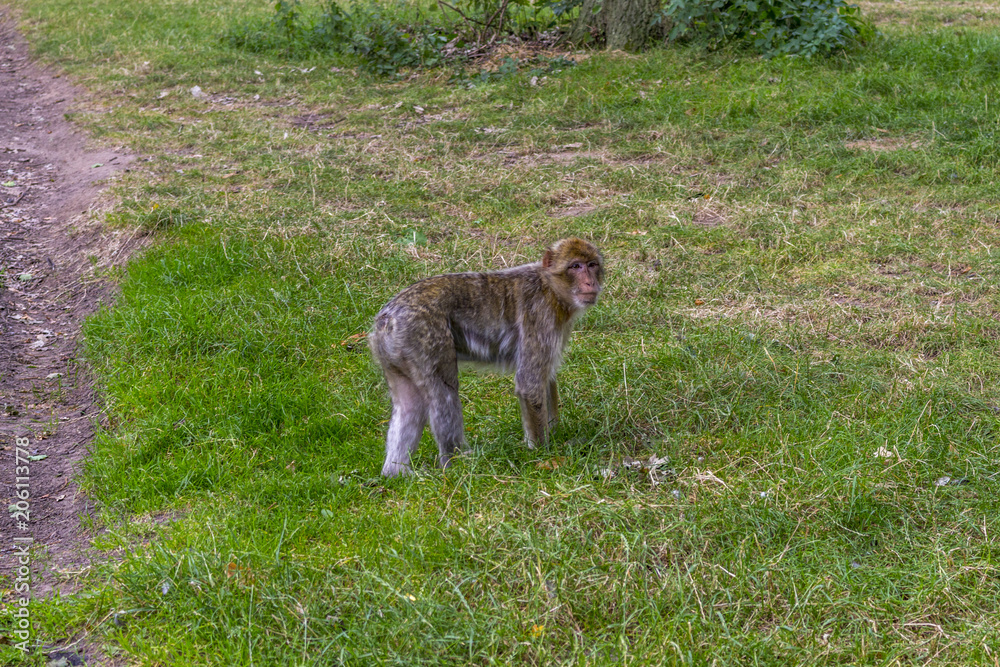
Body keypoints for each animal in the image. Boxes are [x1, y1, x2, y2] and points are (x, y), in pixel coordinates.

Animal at [370, 238, 605, 477]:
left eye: (592, 265)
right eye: (575, 266)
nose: (590, 283)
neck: (550, 287)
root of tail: (387, 318)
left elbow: (546, 379)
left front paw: (555, 435)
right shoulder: (541, 317)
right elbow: (529, 385)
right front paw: (542, 454)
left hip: (396, 352)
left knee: (410, 405)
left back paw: (395, 473)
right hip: (424, 337)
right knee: (444, 392)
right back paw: (455, 463)